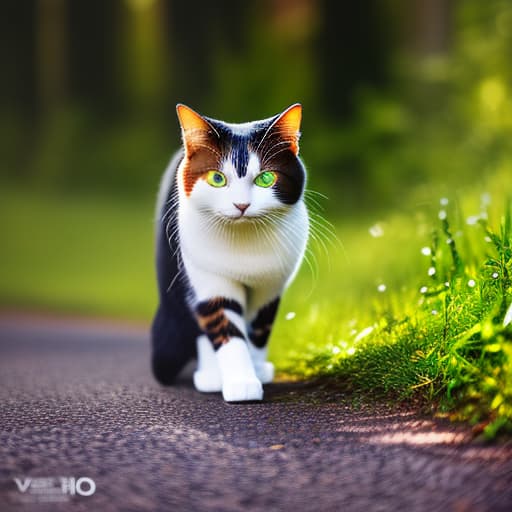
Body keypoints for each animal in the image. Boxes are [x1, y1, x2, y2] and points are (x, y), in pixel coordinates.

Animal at [148, 103, 308, 400]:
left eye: (266, 178)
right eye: (217, 178)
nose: (241, 205)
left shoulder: (270, 289)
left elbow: (258, 331)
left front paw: (256, 370)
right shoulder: (209, 283)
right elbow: (226, 331)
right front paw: (241, 384)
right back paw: (211, 376)